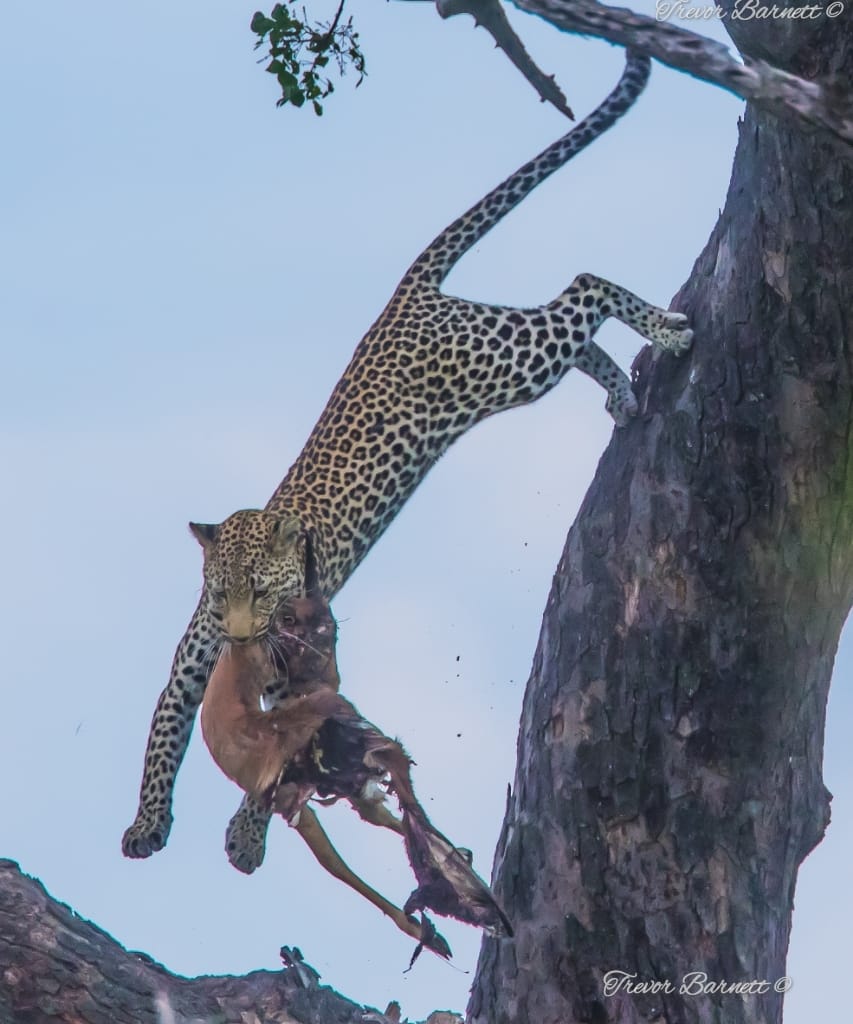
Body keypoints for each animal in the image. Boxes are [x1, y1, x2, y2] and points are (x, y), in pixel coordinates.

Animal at [123, 49, 692, 872]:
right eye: (222, 591)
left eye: (261, 593)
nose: (242, 639)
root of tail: (402, 301)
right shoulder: (190, 660)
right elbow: (162, 734)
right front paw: (146, 823)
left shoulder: (301, 672)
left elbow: (283, 750)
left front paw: (246, 835)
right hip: (506, 356)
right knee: (575, 329)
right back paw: (622, 389)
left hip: (505, 362)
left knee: (581, 290)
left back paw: (667, 332)